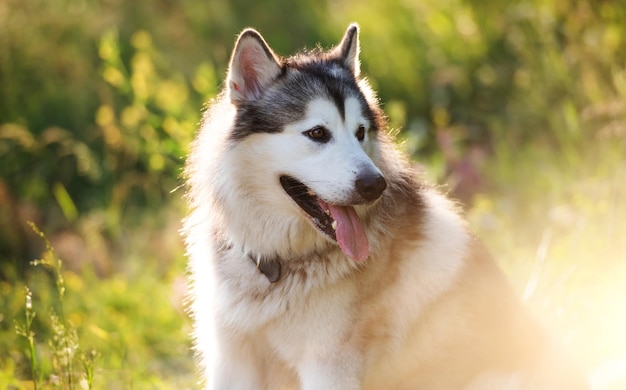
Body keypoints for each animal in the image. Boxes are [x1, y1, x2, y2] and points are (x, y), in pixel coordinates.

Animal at [182, 23, 588, 390]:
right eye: (317, 133)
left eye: (360, 132)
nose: (374, 185)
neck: (277, 263)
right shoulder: (231, 361)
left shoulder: (327, 367)